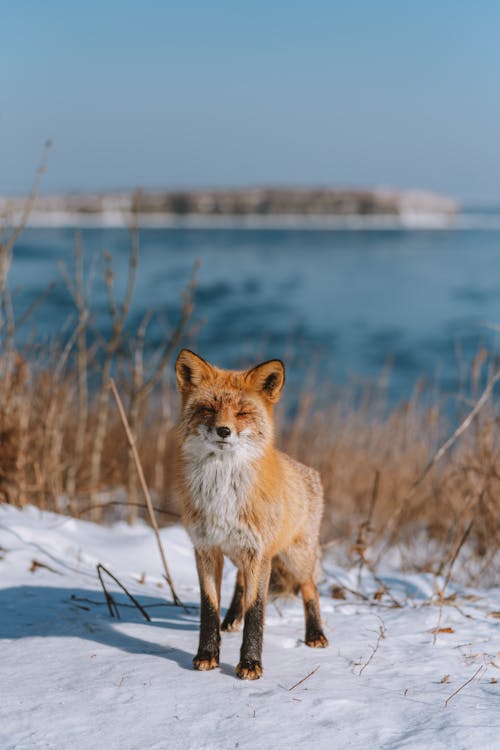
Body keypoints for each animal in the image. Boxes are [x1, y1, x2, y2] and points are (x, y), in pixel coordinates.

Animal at [173, 352, 328, 680]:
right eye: (208, 409)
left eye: (242, 412)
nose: (223, 431)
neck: (222, 492)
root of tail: (309, 472)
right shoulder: (206, 549)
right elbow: (209, 606)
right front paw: (207, 655)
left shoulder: (259, 553)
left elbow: (256, 610)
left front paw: (250, 664)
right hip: (238, 553)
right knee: (241, 582)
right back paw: (232, 619)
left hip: (295, 557)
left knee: (310, 588)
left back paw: (315, 635)